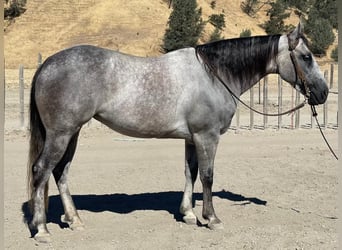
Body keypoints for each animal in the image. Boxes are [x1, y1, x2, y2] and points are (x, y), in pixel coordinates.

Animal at [27, 23, 328, 242]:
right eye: (306, 57)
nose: (323, 93)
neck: (213, 75)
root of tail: (47, 65)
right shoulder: (207, 137)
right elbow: (207, 176)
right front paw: (211, 218)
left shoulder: (192, 139)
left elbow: (190, 173)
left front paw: (189, 214)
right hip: (61, 134)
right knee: (41, 171)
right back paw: (41, 229)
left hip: (72, 133)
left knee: (60, 172)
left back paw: (74, 220)